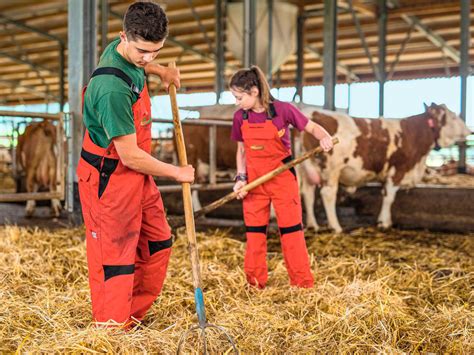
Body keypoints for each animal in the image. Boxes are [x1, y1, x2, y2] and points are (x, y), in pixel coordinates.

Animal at [300, 102, 470, 234]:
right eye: (453, 117)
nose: (470, 130)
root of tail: (310, 111)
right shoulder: (398, 170)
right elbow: (389, 196)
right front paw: (384, 223)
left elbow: (384, 193)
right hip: (331, 169)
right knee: (327, 194)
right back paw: (335, 227)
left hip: (307, 169)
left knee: (307, 194)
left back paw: (313, 225)